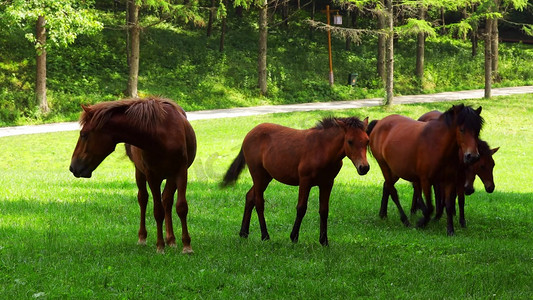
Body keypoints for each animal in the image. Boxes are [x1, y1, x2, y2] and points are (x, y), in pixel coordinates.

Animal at [68, 96, 196, 253]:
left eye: (83, 134)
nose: (73, 167)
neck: (162, 135)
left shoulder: (181, 172)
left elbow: (181, 207)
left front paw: (187, 245)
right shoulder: (152, 176)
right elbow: (157, 211)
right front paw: (160, 245)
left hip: (171, 177)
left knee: (167, 200)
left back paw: (171, 239)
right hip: (140, 173)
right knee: (143, 199)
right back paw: (143, 237)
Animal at [221, 116, 370, 245]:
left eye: (367, 141)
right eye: (350, 141)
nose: (364, 168)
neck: (322, 149)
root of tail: (249, 134)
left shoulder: (327, 183)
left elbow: (324, 210)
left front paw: (324, 241)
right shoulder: (305, 181)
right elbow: (301, 208)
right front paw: (294, 237)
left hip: (266, 177)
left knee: (249, 197)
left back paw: (243, 233)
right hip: (258, 174)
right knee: (258, 202)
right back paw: (265, 235)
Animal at [366, 104, 482, 236]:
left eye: (477, 130)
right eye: (462, 130)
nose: (472, 156)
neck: (438, 145)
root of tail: (379, 122)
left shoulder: (449, 180)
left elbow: (448, 205)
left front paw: (450, 230)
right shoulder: (426, 180)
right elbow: (430, 207)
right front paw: (421, 222)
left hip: (396, 170)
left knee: (387, 186)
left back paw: (383, 214)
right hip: (384, 166)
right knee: (393, 191)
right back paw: (405, 220)